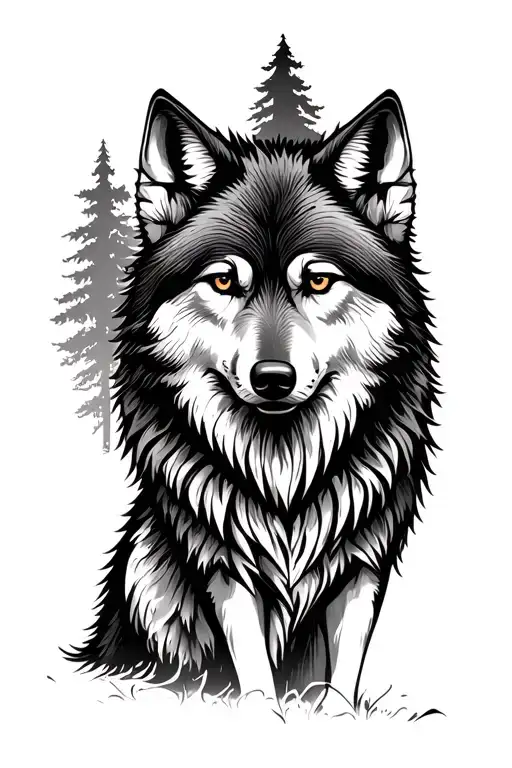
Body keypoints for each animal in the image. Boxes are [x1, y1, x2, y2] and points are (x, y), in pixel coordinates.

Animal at [66, 87, 438, 714]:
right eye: (223, 282)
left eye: (318, 281)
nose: (272, 379)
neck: (283, 475)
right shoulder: (223, 563)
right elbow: (256, 673)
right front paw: (264, 718)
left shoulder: (363, 562)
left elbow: (343, 674)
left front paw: (335, 719)